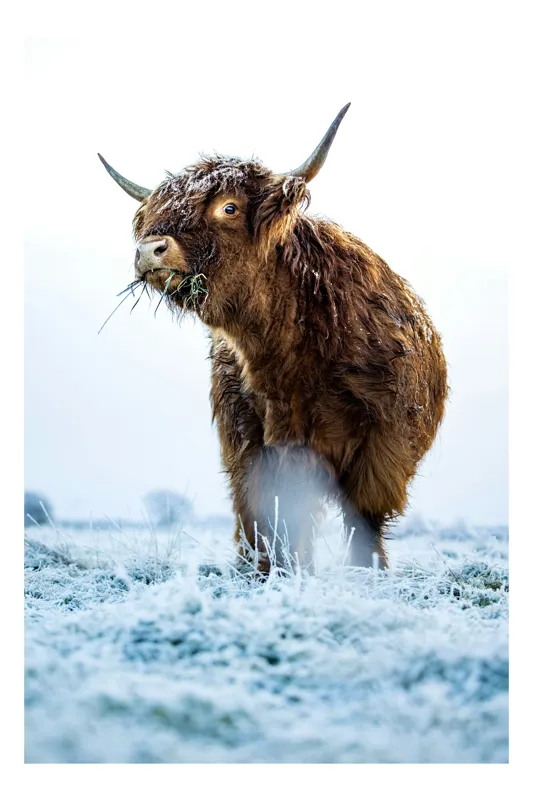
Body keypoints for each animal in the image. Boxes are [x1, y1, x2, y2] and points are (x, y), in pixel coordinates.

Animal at [99, 103, 448, 574]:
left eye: (228, 208)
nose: (149, 249)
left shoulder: (381, 446)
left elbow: (362, 518)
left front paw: (366, 574)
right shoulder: (248, 442)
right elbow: (263, 516)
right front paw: (267, 574)